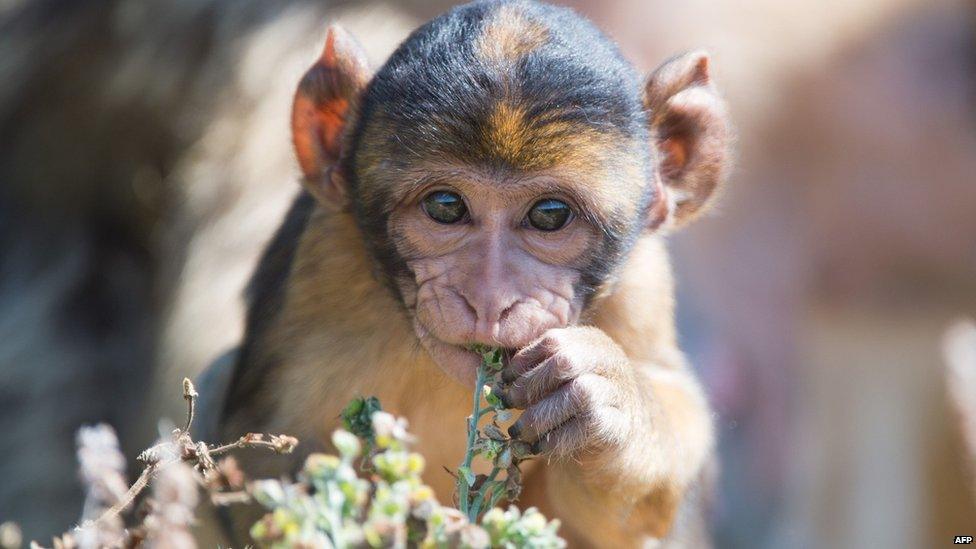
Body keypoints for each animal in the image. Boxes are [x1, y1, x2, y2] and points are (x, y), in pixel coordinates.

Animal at [215, 0, 732, 544]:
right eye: (446, 206)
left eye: (550, 214)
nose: (488, 299)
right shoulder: (321, 260)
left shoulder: (642, 280)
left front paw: (609, 403)